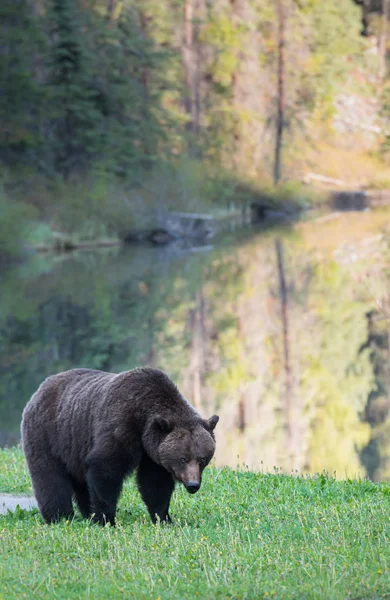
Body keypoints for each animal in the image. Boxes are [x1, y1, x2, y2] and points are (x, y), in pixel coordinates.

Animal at [20, 366, 219, 524]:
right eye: (182, 458)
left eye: (202, 459)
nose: (193, 484)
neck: (143, 420)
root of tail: (39, 389)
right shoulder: (121, 424)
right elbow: (106, 469)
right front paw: (105, 519)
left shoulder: (152, 450)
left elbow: (155, 483)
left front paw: (163, 518)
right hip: (48, 434)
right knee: (50, 477)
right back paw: (60, 516)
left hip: (74, 446)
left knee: (80, 481)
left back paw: (85, 512)